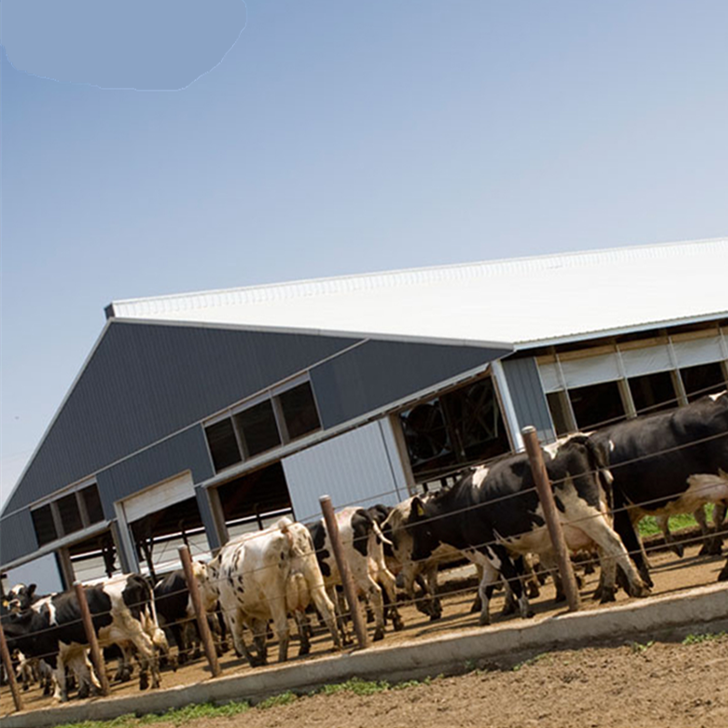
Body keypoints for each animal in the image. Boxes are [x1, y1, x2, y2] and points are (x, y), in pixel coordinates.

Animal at [3, 576, 165, 700]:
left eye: (24, 592)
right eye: (9, 596)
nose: (13, 603)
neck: (33, 621)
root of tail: (132, 576)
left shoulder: (52, 654)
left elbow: (59, 676)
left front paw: (61, 697)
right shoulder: (74, 650)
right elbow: (84, 669)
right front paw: (94, 689)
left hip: (132, 627)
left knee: (147, 648)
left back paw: (153, 680)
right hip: (147, 621)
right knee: (157, 638)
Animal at [384, 432, 644, 624]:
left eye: (414, 528)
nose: (414, 554)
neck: (460, 506)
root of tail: (575, 440)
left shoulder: (493, 549)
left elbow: (512, 579)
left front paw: (525, 610)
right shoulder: (493, 552)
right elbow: (485, 588)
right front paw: (485, 617)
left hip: (588, 516)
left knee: (614, 543)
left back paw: (637, 585)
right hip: (602, 512)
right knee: (606, 552)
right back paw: (608, 592)